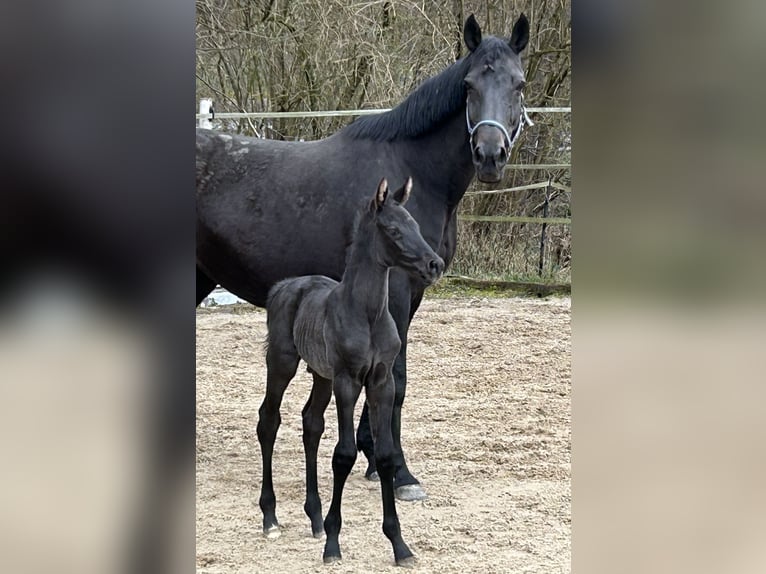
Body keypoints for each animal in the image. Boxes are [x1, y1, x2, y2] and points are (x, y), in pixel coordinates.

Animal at [196, 13, 531, 500]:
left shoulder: (411, 294)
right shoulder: (398, 290)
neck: (413, 169)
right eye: (469, 85)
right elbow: (399, 379)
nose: (490, 155)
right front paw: (401, 473)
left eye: (519, 84)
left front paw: (375, 459)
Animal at [259, 177, 443, 565]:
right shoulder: (348, 381)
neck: (368, 314)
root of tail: (285, 286)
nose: (434, 264)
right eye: (393, 230)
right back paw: (270, 518)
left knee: (311, 424)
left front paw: (399, 545)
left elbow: (385, 455)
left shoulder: (381, 382)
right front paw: (333, 543)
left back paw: (313, 518)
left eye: (416, 225)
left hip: (320, 375)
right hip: (283, 364)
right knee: (269, 419)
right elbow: (343, 454)